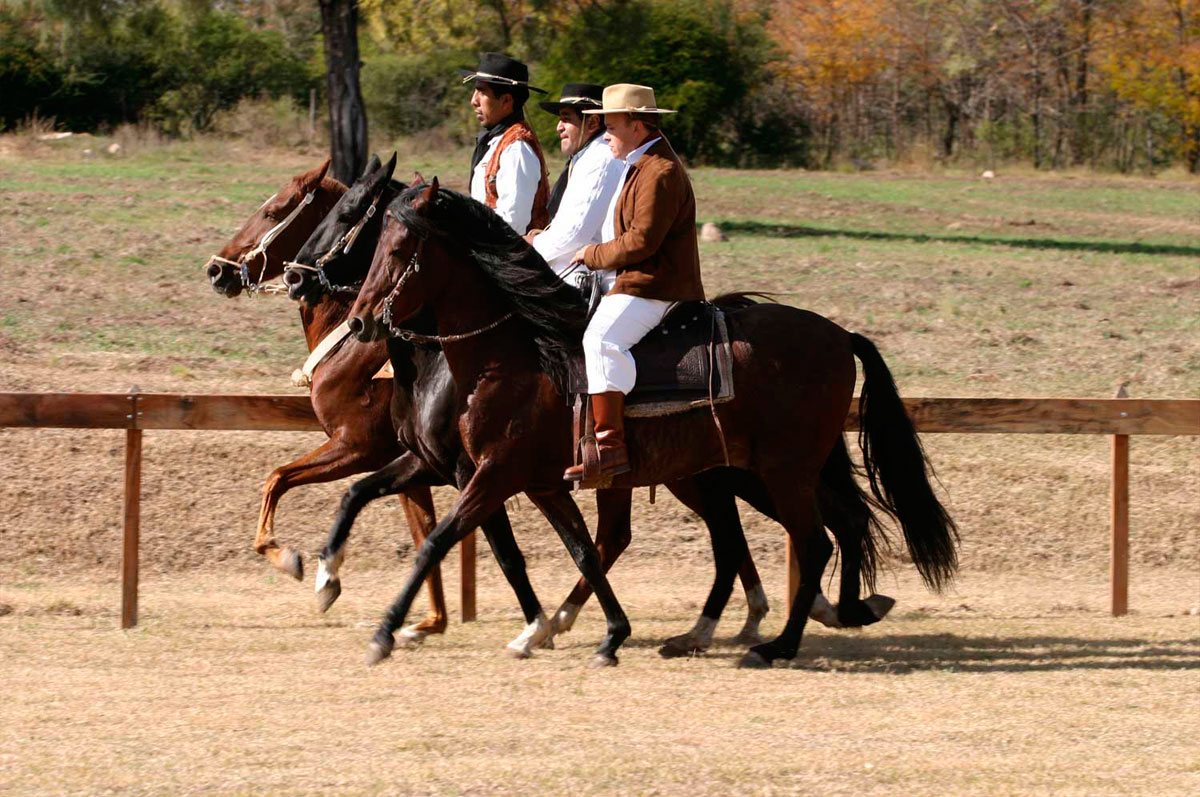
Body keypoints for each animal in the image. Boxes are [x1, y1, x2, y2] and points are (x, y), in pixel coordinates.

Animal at [204, 156, 451, 643]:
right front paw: (430, 622)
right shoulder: (407, 465)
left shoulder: (356, 447)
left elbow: (277, 478)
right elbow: (424, 531)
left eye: (273, 211)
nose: (217, 269)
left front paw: (292, 559)